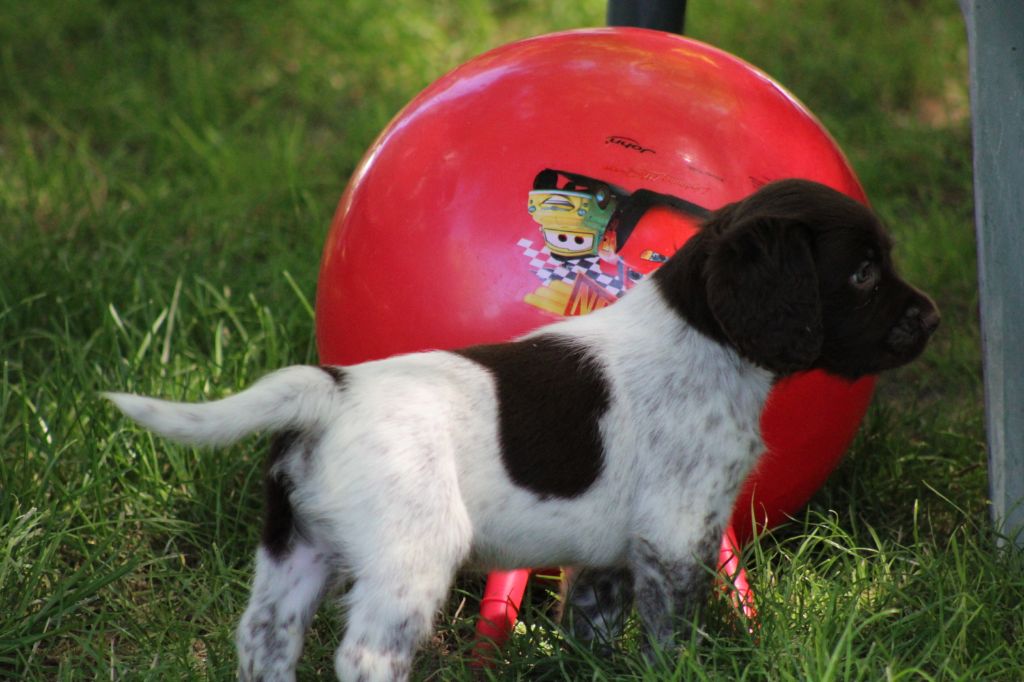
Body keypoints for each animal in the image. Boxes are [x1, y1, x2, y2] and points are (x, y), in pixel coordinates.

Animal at [103, 178, 937, 675]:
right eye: (862, 272)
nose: (932, 318)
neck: (701, 336)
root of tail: (331, 391)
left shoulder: (607, 557)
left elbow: (593, 631)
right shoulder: (676, 538)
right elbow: (675, 639)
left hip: (294, 552)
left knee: (264, 640)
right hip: (410, 560)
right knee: (366, 656)